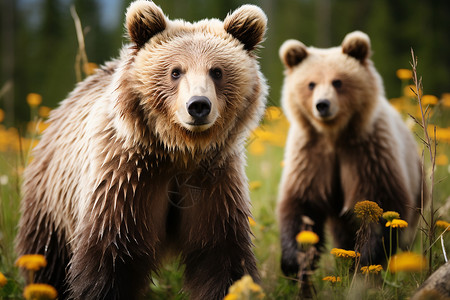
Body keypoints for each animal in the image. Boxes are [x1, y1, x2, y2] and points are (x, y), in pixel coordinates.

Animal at [15, 1, 266, 298]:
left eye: (217, 71)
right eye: (175, 71)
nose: (198, 105)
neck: (179, 150)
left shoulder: (215, 185)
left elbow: (222, 259)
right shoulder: (125, 182)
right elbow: (107, 261)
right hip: (52, 204)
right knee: (47, 259)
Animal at [276, 31, 424, 278]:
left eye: (338, 81)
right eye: (311, 84)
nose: (322, 105)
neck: (334, 136)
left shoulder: (368, 154)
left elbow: (381, 205)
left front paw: (365, 261)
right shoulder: (310, 157)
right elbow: (301, 206)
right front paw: (295, 261)